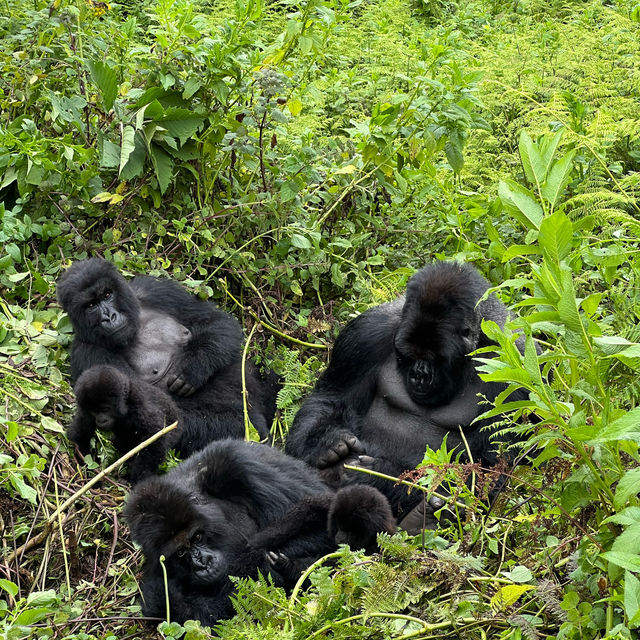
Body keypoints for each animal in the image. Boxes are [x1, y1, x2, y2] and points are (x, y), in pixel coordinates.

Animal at [55, 258, 276, 458]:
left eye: (107, 294)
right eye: (91, 305)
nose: (109, 317)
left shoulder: (155, 289)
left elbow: (216, 321)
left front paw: (194, 369)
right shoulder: (88, 353)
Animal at [125, 440, 396, 624]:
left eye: (198, 537)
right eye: (180, 553)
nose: (202, 564)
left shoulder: (234, 465)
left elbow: (329, 531)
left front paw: (265, 563)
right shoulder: (154, 568)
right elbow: (182, 610)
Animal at [284, 262, 536, 528]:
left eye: (436, 359)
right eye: (408, 354)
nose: (419, 375)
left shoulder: (516, 366)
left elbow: (490, 464)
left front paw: (379, 476)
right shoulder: (366, 333)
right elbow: (332, 397)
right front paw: (327, 442)